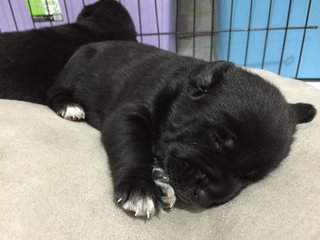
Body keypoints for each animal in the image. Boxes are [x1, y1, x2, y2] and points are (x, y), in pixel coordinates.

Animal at [46, 40, 316, 218]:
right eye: (216, 138)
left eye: (251, 177)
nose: (208, 194)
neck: (178, 89)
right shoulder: (127, 116)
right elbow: (132, 147)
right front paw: (140, 189)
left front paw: (160, 180)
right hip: (76, 66)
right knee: (53, 92)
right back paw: (70, 106)